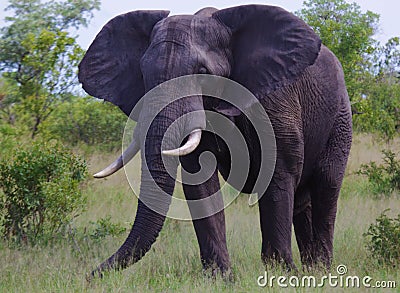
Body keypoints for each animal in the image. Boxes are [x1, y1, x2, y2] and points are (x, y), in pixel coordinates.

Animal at [79, 4, 354, 278]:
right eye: (144, 75)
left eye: (202, 73)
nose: (90, 275)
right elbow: (200, 181)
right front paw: (220, 277)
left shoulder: (276, 102)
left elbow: (278, 172)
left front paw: (279, 274)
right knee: (303, 199)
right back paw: (312, 270)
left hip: (340, 117)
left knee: (327, 184)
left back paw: (322, 270)